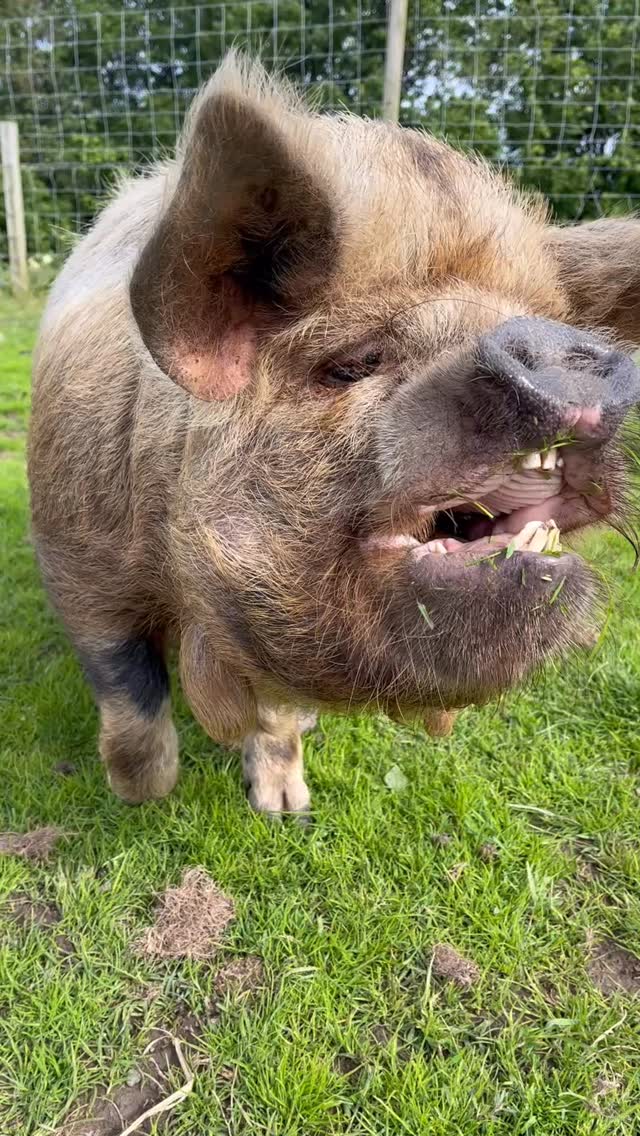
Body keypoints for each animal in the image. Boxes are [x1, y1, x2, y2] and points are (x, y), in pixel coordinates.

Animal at [28, 54, 640, 816]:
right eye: (352, 364)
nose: (557, 343)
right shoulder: (75, 554)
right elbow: (128, 692)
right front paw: (140, 799)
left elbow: (277, 716)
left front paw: (286, 810)